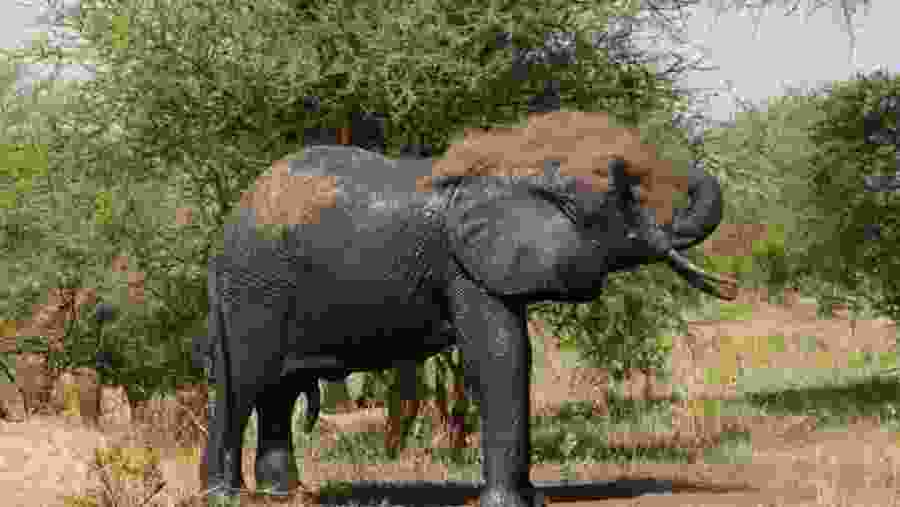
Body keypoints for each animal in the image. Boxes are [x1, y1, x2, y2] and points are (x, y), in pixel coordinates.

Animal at [201, 110, 737, 507]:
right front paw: (508, 505)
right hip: (254, 286)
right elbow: (499, 354)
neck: (512, 155)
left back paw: (283, 494)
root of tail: (226, 230)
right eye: (624, 190)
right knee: (243, 383)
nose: (730, 286)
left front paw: (531, 499)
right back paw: (223, 496)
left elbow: (511, 352)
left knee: (278, 389)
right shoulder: (463, 264)